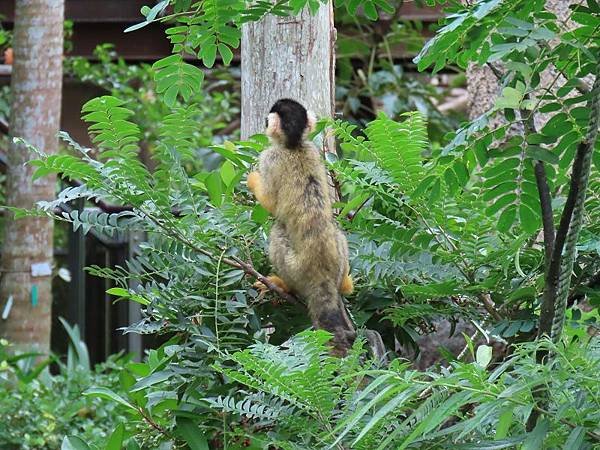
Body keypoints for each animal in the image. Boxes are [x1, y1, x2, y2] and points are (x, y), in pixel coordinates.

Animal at [247, 98, 356, 356]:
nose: (264, 123)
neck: (294, 146)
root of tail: (321, 277)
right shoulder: (315, 151)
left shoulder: (271, 157)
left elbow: (270, 202)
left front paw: (253, 180)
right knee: (336, 231)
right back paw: (345, 285)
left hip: (296, 269)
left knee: (278, 231)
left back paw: (282, 284)